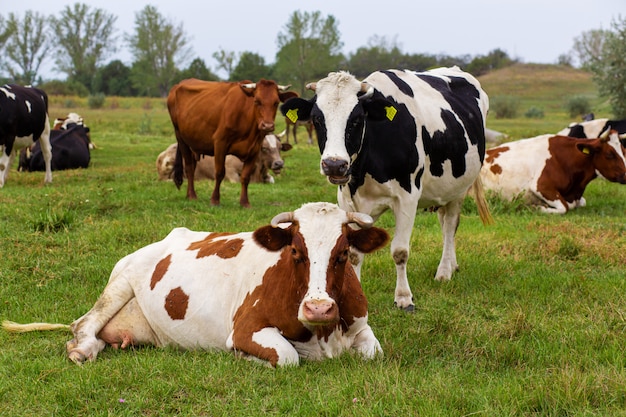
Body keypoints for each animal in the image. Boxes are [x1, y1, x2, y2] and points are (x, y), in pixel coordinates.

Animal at [3, 203, 386, 366]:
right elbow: (288, 357)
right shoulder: (246, 328)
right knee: (83, 323)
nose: (318, 308)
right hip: (121, 280)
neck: (324, 335)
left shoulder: (361, 327)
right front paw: (247, 358)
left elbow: (373, 353)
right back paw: (82, 349)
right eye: (295, 250)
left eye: (343, 253)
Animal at [167, 77, 296, 206]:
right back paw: (192, 196)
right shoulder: (220, 144)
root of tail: (179, 84)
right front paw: (215, 200)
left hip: (194, 143)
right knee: (189, 167)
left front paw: (244, 202)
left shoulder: (254, 150)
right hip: (181, 138)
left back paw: (189, 194)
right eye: (257, 101)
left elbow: (245, 176)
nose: (267, 126)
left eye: (276, 102)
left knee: (193, 166)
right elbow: (219, 173)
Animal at [280, 67, 490, 308]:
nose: (334, 164)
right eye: (316, 119)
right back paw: (452, 265)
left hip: (459, 187)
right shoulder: (348, 200)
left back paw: (444, 271)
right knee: (445, 221)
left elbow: (400, 251)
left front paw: (404, 297)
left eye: (357, 119)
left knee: (450, 226)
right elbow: (354, 253)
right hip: (443, 189)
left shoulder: (408, 197)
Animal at [478, 131, 624, 214]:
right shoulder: (541, 186)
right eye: (610, 154)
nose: (625, 174)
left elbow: (581, 203)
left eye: (624, 150)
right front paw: (538, 208)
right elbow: (564, 208)